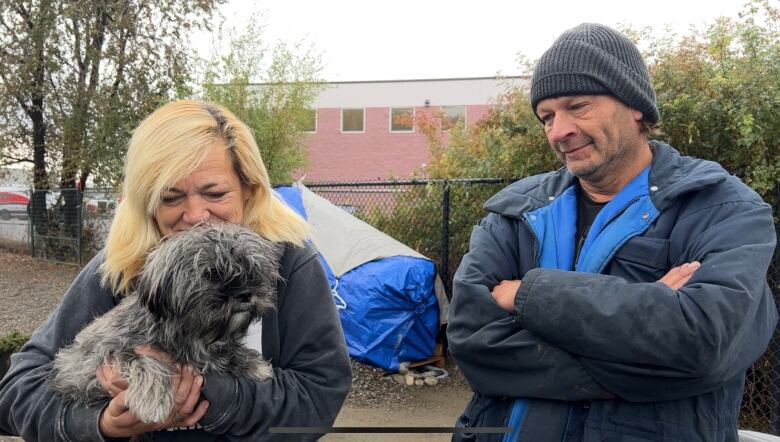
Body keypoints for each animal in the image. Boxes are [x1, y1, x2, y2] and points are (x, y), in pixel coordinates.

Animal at [49, 224, 280, 424]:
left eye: (251, 269)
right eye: (213, 273)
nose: (246, 294)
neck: (189, 331)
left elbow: (220, 352)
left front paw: (251, 363)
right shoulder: (102, 354)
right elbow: (143, 360)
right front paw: (154, 399)